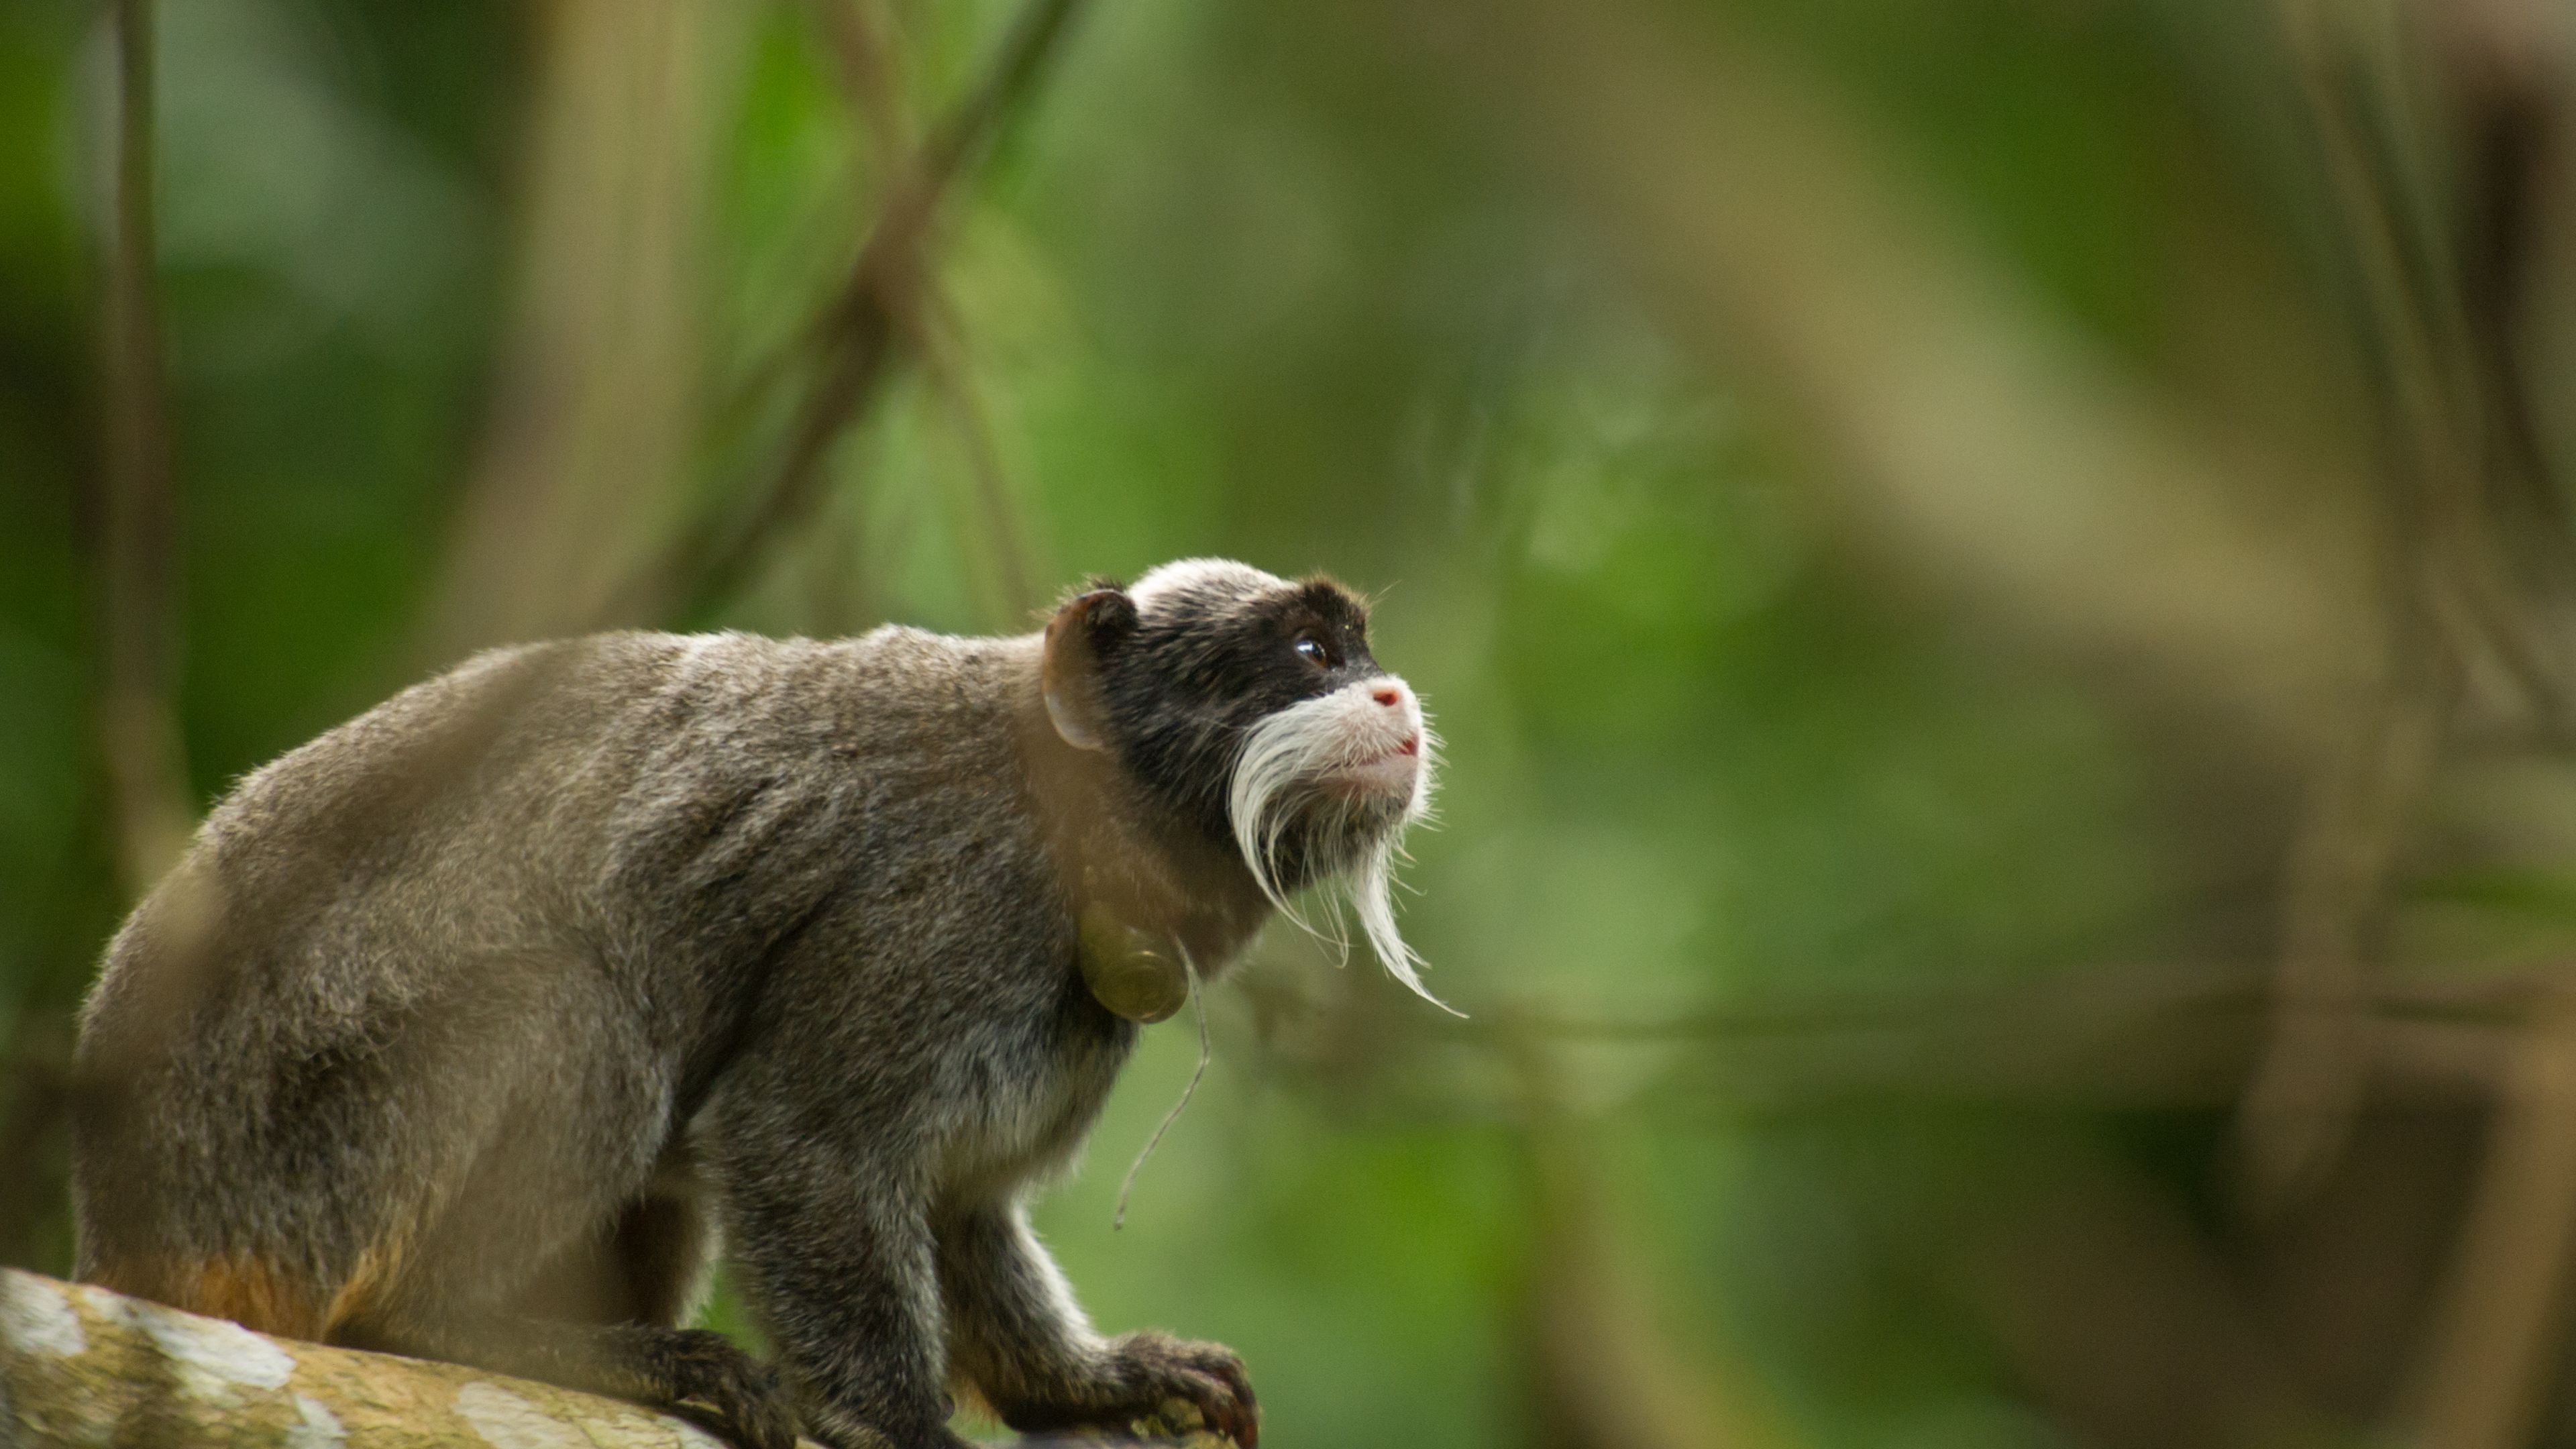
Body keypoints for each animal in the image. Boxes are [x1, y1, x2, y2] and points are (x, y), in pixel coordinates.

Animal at [65, 554, 1452, 1444]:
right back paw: (461, 1329)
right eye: (1313, 656)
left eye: (1365, 653)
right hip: (299, 1161)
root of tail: (126, 1220)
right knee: (583, 1013)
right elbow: (807, 1142)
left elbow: (960, 1205)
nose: (1395, 696)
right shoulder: (930, 917)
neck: (1070, 830)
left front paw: (1085, 1383)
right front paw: (907, 1432)